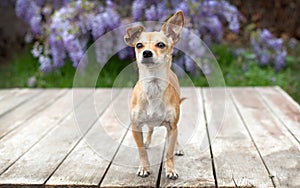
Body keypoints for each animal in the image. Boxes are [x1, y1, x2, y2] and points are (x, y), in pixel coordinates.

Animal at [124, 10, 185, 181]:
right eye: (139, 45)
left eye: (161, 45)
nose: (146, 52)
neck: (153, 85)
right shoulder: (136, 126)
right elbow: (141, 151)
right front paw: (144, 167)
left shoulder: (172, 126)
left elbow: (169, 152)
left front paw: (170, 170)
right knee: (150, 128)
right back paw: (147, 141)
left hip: (175, 125)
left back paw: (178, 147)